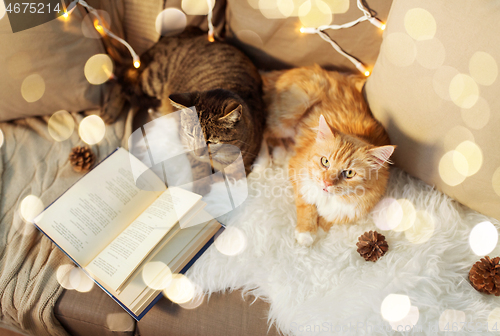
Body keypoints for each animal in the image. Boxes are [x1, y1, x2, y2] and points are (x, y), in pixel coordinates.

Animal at [104, 26, 266, 192]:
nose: (198, 152)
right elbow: (198, 167)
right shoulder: (187, 145)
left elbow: (237, 174)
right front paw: (202, 186)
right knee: (121, 77)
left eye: (212, 142)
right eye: (190, 134)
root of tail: (187, 32)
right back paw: (109, 111)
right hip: (155, 77)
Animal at [264, 64, 396, 245]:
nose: (327, 183)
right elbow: (307, 206)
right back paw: (271, 159)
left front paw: (319, 232)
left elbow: (329, 219)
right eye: (325, 162)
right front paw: (306, 233)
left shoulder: (352, 210)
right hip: (289, 115)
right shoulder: (299, 173)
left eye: (349, 173)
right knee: (265, 133)